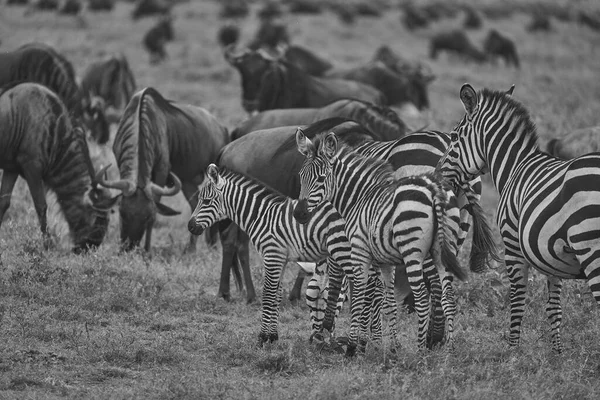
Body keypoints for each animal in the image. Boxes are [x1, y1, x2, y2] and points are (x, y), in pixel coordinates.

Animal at [188, 163, 366, 354]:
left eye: (206, 201)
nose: (190, 227)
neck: (260, 216)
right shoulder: (280, 259)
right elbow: (277, 295)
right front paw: (273, 336)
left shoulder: (271, 255)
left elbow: (267, 295)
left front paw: (261, 339)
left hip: (343, 250)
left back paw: (355, 344)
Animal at [434, 83, 600, 352]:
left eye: (454, 137)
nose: (437, 174)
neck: (514, 167)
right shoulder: (550, 254)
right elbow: (554, 308)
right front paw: (557, 353)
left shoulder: (513, 245)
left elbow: (517, 302)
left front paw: (513, 351)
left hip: (590, 249)